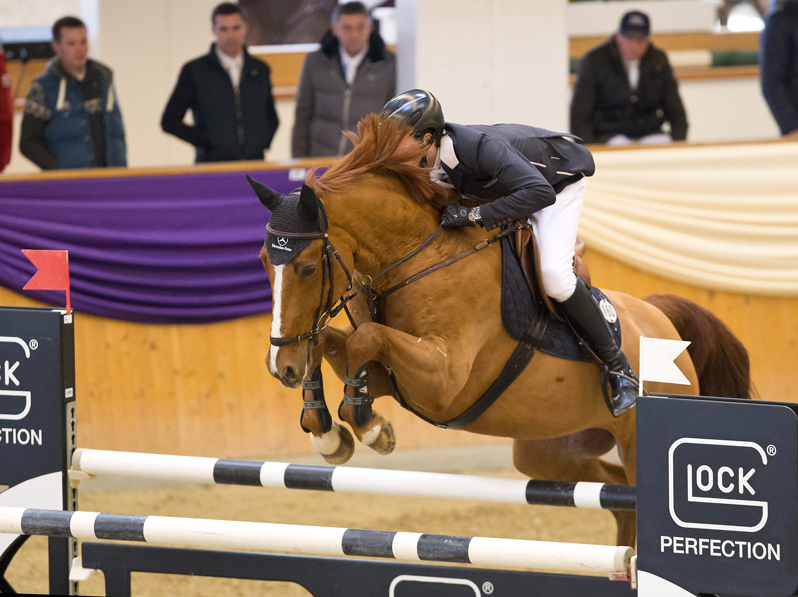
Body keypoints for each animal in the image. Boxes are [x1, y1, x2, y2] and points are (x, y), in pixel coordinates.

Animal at [252, 115, 756, 544]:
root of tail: (659, 316)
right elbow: (333, 342)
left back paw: (622, 384)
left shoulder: (443, 380)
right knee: (615, 497)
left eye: (307, 267)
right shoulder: (395, 378)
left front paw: (369, 427)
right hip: (548, 450)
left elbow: (365, 338)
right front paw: (326, 429)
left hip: (634, 438)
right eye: (263, 261)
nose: (280, 368)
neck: (417, 256)